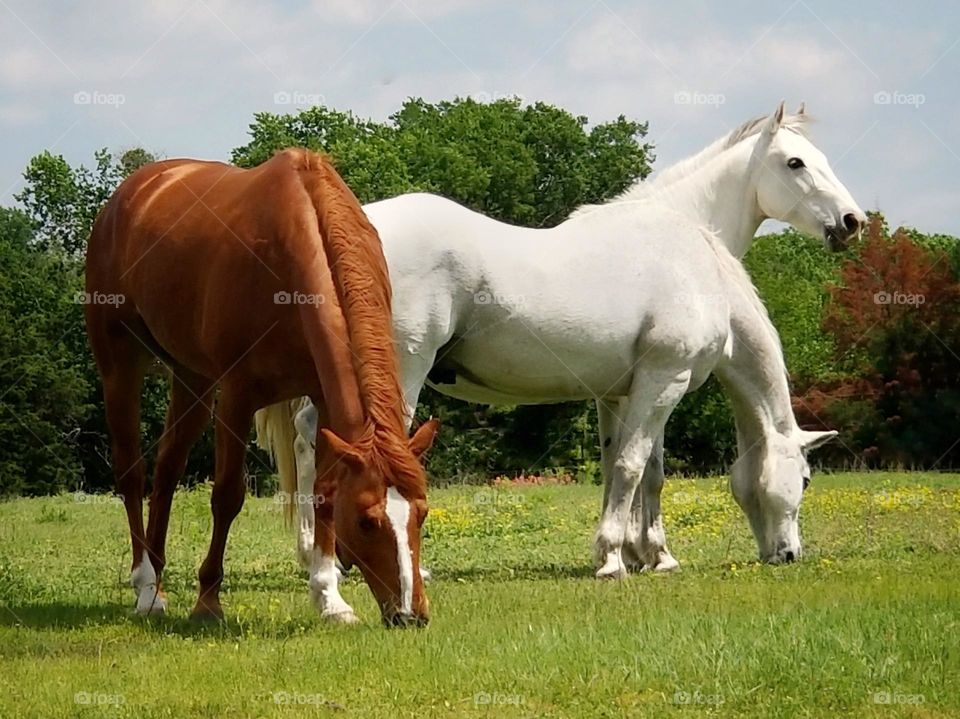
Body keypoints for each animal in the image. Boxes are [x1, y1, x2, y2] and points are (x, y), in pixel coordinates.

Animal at [86, 148, 438, 624]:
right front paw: (208, 600)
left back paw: (157, 584)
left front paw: (330, 599)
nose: (410, 614)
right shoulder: (237, 398)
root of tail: (128, 195)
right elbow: (227, 496)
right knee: (132, 473)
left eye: (421, 514)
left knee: (167, 468)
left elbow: (323, 494)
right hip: (119, 362)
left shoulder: (324, 400)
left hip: (192, 376)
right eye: (367, 521)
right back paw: (144, 586)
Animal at [255, 102, 864, 596]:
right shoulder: (664, 381)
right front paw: (614, 559)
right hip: (400, 370)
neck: (687, 244)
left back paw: (323, 556)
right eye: (795, 163)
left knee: (313, 438)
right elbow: (632, 467)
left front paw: (650, 555)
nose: (852, 222)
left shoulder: (624, 394)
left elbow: (635, 469)